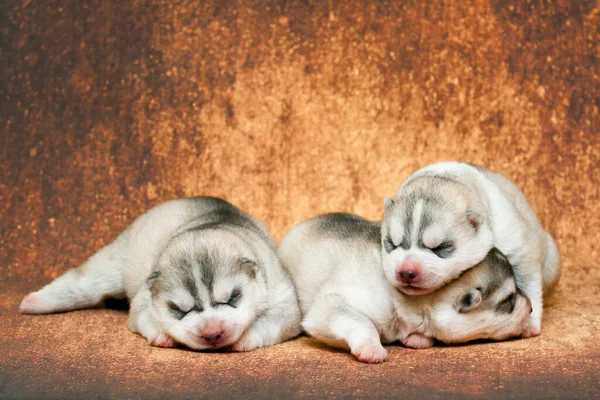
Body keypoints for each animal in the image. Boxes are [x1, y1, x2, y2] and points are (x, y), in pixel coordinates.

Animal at [21, 196, 302, 350]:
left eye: (232, 298)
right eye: (179, 309)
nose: (212, 333)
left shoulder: (283, 297)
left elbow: (277, 319)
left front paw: (245, 338)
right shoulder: (144, 297)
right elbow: (142, 315)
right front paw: (161, 334)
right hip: (115, 260)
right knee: (84, 283)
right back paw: (35, 302)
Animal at [278, 214, 532, 364]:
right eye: (508, 300)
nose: (530, 308)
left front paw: (417, 338)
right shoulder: (330, 307)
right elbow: (361, 321)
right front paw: (371, 348)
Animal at [382, 161, 560, 336]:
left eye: (440, 248)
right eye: (392, 244)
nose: (406, 272)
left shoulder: (518, 248)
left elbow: (528, 278)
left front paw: (530, 322)